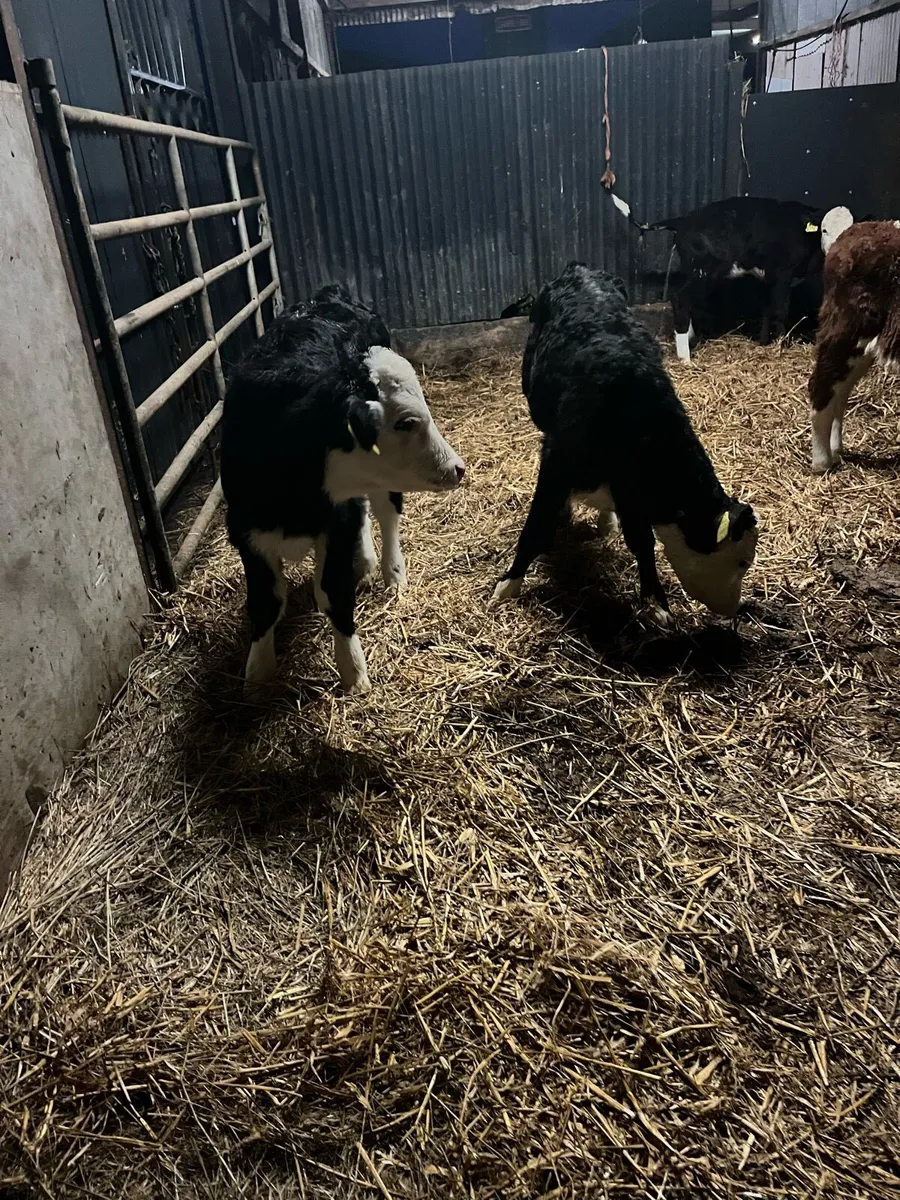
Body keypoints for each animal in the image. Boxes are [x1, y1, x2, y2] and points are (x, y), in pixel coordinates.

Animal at [221, 285, 466, 696]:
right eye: (406, 422)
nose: (457, 468)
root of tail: (329, 294)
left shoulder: (334, 525)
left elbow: (335, 591)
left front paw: (353, 670)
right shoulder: (245, 530)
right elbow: (265, 602)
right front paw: (257, 674)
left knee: (386, 512)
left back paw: (391, 572)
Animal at [491, 263, 759, 622]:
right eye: (741, 561)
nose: (734, 609)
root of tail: (580, 269)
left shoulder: (630, 488)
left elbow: (641, 541)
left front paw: (656, 601)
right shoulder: (557, 464)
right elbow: (537, 524)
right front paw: (508, 585)